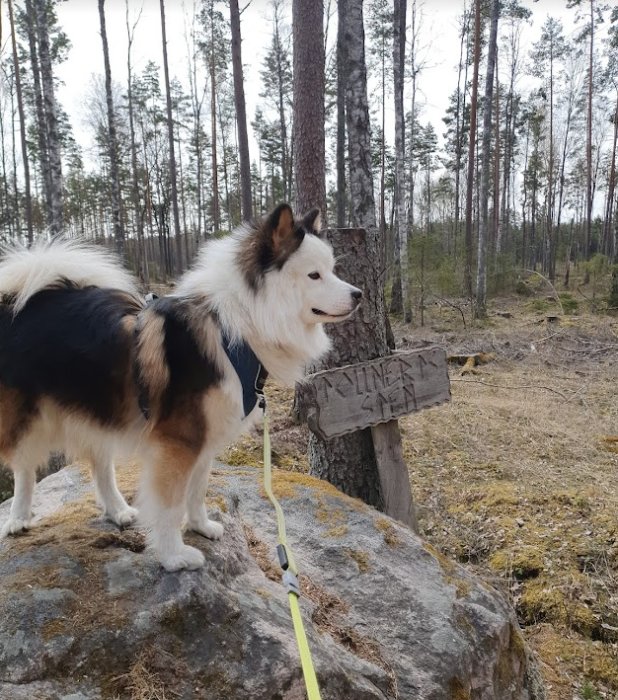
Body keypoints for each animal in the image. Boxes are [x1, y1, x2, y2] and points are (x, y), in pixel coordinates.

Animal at [0, 205, 360, 572]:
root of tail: (17, 301)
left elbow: (197, 489)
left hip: (98, 408)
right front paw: (173, 555)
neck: (235, 327)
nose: (358, 295)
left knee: (99, 463)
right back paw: (18, 518)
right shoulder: (178, 441)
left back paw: (117, 510)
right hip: (26, 418)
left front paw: (201, 526)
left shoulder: (204, 438)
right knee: (24, 467)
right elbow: (170, 504)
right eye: (314, 275)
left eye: (331, 270)